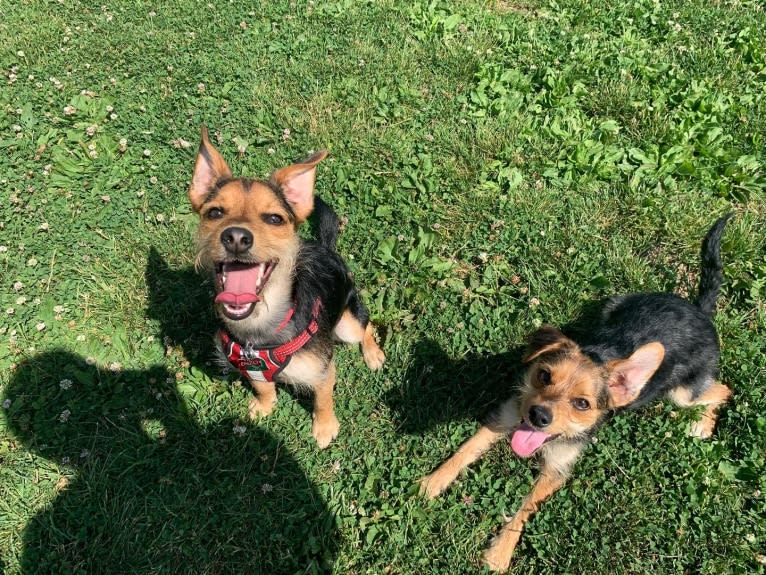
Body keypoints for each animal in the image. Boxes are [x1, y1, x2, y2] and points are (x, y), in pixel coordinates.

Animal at [189, 127, 388, 450]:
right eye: (215, 213)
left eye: (274, 218)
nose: (236, 237)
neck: (260, 327)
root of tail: (326, 247)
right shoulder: (251, 368)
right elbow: (263, 388)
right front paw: (264, 406)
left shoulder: (323, 371)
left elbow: (323, 399)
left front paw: (324, 428)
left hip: (347, 323)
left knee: (366, 326)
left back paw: (373, 354)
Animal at [424, 215, 736, 572]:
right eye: (544, 375)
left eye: (582, 404)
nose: (538, 415)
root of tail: (700, 311)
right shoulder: (505, 416)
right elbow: (467, 448)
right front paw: (433, 480)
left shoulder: (557, 469)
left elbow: (526, 509)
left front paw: (500, 552)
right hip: (618, 303)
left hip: (682, 393)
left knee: (722, 389)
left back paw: (702, 424)